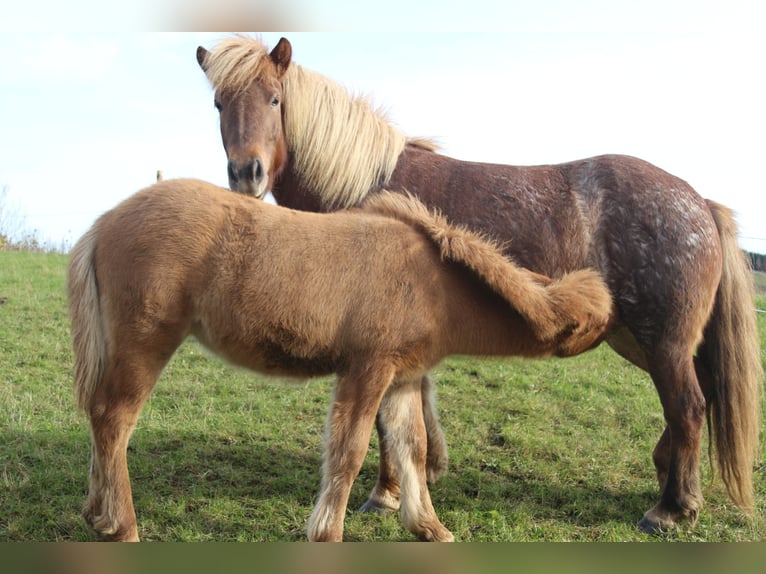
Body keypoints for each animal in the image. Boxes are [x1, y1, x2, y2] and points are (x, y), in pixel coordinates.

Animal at [67, 178, 612, 542]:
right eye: (588, 325)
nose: (609, 333)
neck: (435, 284)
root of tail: (103, 222)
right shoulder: (367, 369)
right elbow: (348, 452)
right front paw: (327, 533)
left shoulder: (402, 379)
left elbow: (412, 449)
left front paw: (428, 527)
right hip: (146, 341)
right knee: (114, 419)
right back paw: (122, 526)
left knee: (99, 418)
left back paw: (97, 514)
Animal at [196, 35, 762, 534]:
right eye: (219, 102)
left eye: (275, 98)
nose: (246, 174)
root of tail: (699, 202)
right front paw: (405, 486)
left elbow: (384, 422)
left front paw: (383, 495)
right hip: (641, 340)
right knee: (698, 399)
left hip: (662, 340)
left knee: (688, 406)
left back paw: (670, 509)